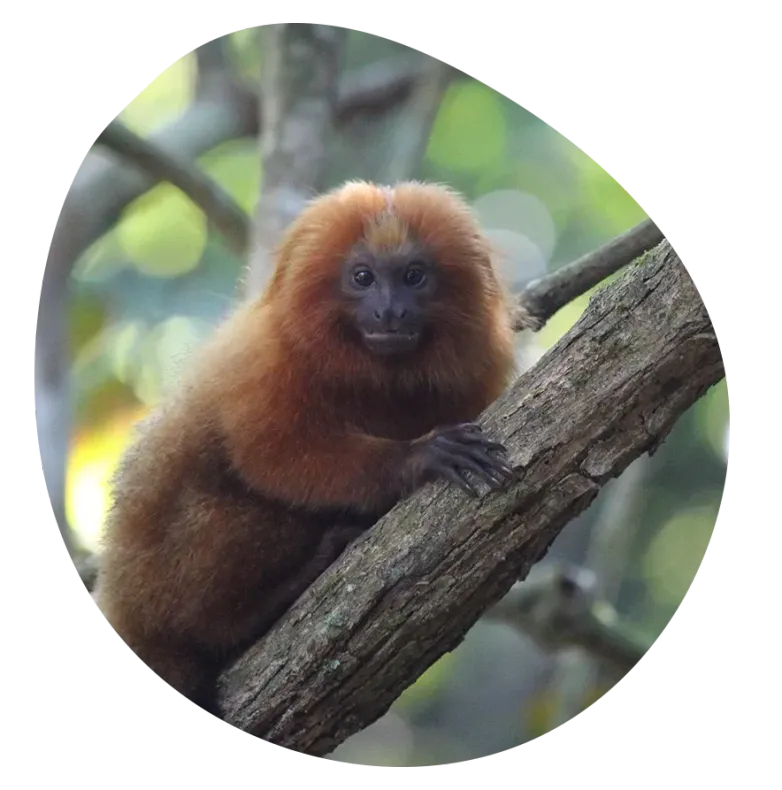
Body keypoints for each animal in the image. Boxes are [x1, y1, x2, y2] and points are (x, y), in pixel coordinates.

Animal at [96, 180, 518, 722]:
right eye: (362, 278)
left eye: (413, 276)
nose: (390, 311)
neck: (376, 377)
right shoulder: (267, 361)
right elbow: (275, 456)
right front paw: (416, 458)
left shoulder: (476, 371)